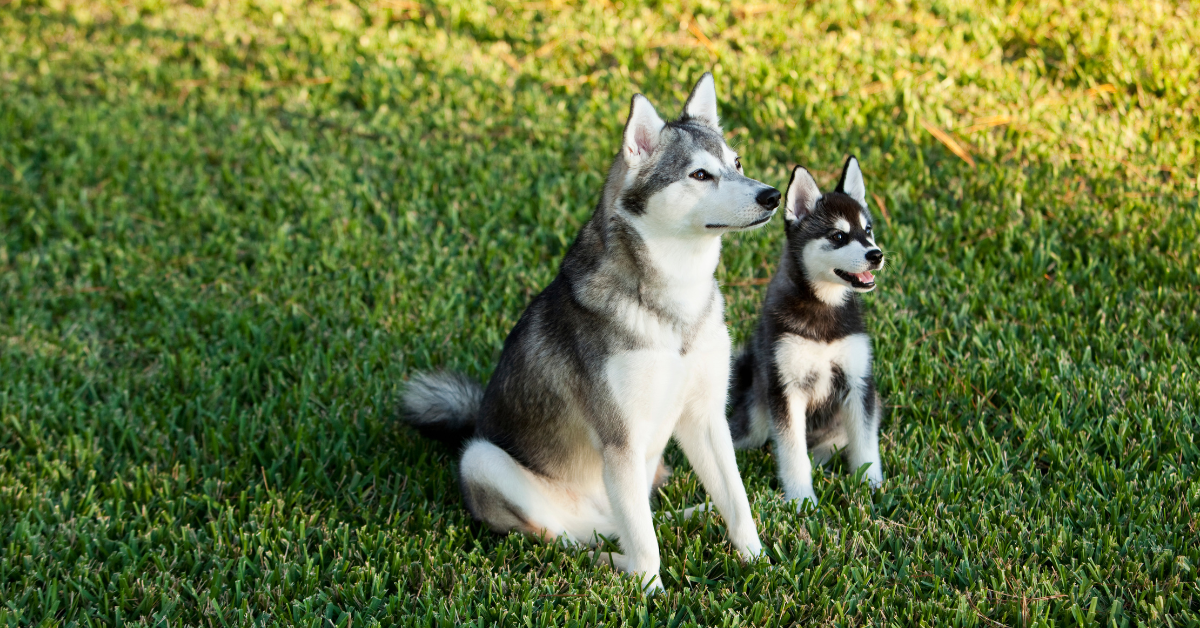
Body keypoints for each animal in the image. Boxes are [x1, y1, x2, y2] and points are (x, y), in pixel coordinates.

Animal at [403, 75, 777, 595]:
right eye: (700, 174)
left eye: (737, 164)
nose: (772, 195)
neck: (672, 301)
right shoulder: (620, 439)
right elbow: (646, 550)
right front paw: (652, 595)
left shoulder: (705, 416)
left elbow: (737, 502)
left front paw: (757, 561)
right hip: (484, 462)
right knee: (580, 540)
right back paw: (614, 564)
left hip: (646, 473)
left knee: (638, 521)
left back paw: (691, 515)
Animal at [724, 157, 888, 511]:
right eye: (838, 236)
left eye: (867, 230)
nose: (877, 255)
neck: (823, 308)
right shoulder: (786, 389)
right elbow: (792, 452)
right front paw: (801, 500)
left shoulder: (858, 383)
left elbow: (865, 445)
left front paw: (871, 486)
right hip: (756, 418)